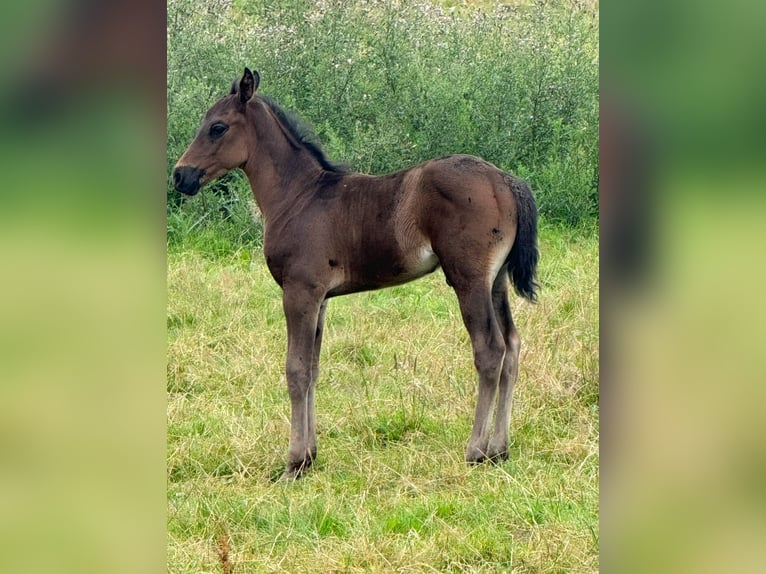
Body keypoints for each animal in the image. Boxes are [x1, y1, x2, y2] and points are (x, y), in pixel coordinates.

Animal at [176, 68, 540, 482]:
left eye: (217, 127)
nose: (180, 176)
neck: (298, 196)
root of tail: (506, 180)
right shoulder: (320, 299)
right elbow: (313, 369)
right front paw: (311, 456)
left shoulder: (299, 292)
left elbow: (295, 370)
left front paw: (293, 463)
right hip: (496, 282)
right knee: (512, 345)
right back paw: (500, 449)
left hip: (469, 280)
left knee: (490, 349)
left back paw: (476, 450)